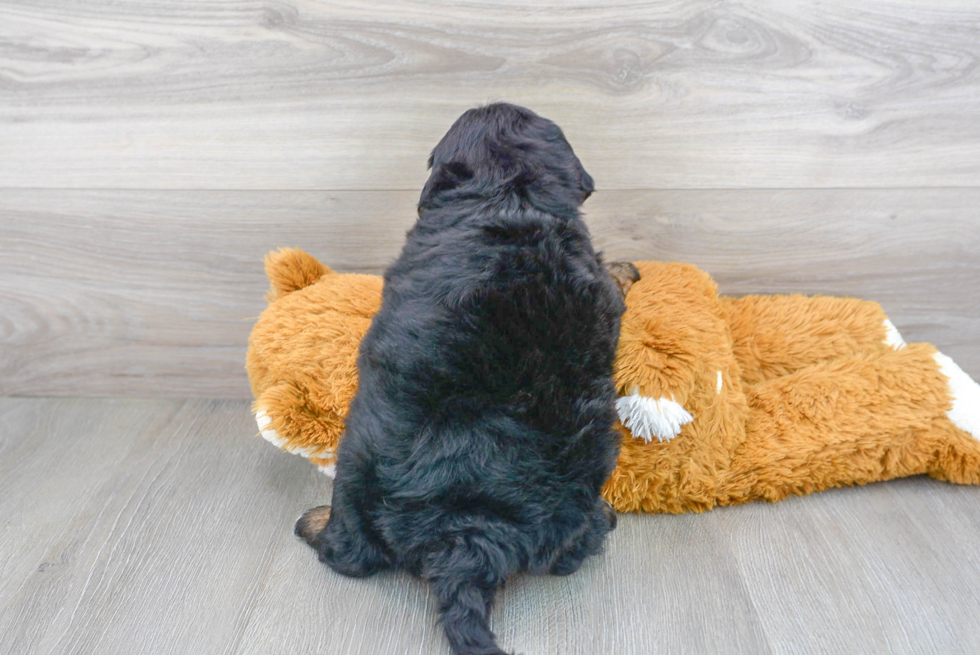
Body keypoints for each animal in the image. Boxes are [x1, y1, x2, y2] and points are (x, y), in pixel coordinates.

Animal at [296, 102, 628, 655]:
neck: (510, 197)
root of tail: (469, 539)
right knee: (572, 550)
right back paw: (603, 517)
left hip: (356, 460)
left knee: (350, 553)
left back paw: (314, 523)